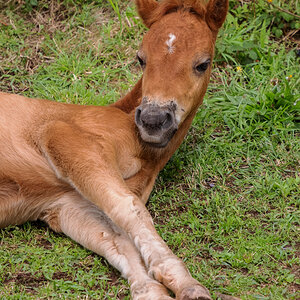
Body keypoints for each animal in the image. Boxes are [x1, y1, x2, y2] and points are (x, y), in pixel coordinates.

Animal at [0, 0, 229, 298]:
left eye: (203, 64)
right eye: (141, 59)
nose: (153, 119)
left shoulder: (65, 203)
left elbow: (117, 240)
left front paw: (161, 289)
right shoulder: (62, 137)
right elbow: (129, 210)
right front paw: (188, 283)